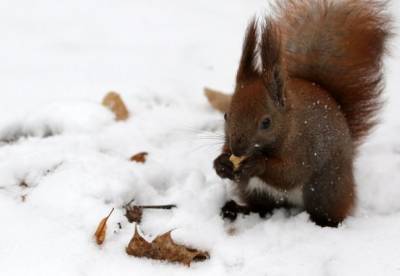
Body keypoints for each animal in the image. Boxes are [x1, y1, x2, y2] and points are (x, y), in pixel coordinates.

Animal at [214, 0, 392, 226]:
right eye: (226, 115)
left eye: (266, 122)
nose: (237, 150)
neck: (289, 125)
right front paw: (221, 163)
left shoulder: (304, 148)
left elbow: (290, 173)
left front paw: (257, 164)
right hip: (255, 190)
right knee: (263, 207)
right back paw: (236, 209)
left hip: (325, 188)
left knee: (327, 210)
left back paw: (324, 223)